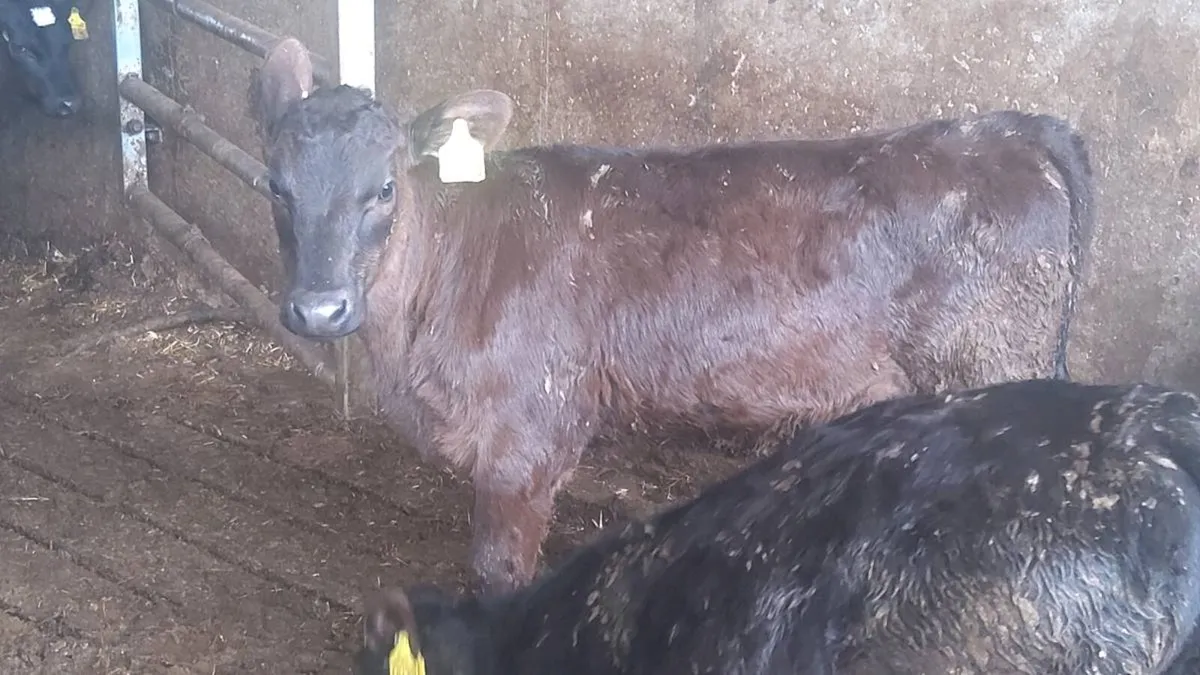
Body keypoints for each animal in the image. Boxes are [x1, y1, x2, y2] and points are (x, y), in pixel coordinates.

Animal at [253, 37, 1095, 594]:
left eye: (384, 187)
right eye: (275, 185)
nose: (319, 308)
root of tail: (1010, 129)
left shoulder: (528, 436)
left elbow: (498, 572)